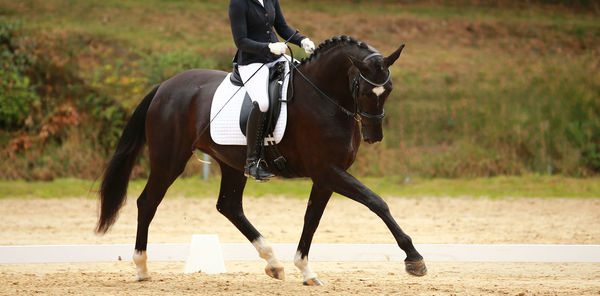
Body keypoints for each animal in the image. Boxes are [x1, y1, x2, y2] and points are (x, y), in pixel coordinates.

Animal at [97, 35, 426, 286]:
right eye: (364, 88)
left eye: (389, 89)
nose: (374, 136)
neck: (324, 98)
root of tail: (164, 87)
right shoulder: (328, 171)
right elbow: (376, 202)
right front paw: (414, 258)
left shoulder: (325, 177)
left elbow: (312, 219)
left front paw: (305, 271)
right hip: (170, 160)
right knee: (147, 202)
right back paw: (141, 268)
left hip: (232, 163)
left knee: (229, 206)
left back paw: (273, 262)